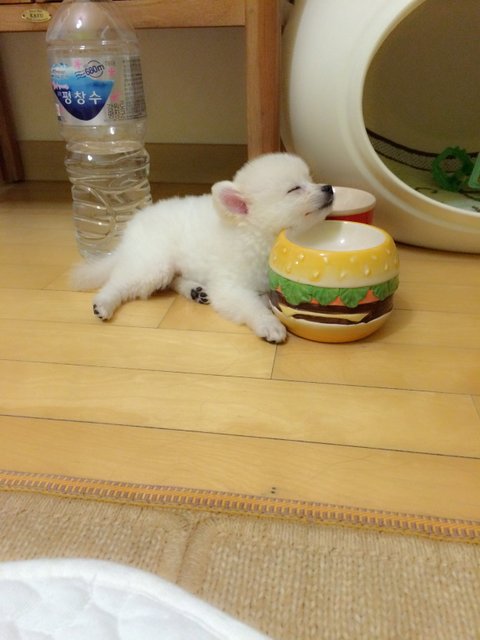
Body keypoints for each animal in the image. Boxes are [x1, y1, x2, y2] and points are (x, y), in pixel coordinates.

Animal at [71, 153, 334, 343]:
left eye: (311, 179)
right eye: (294, 189)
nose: (329, 187)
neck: (256, 233)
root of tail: (131, 231)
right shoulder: (231, 287)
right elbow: (252, 306)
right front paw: (269, 325)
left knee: (172, 279)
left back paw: (195, 290)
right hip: (153, 263)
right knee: (120, 282)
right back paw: (103, 303)